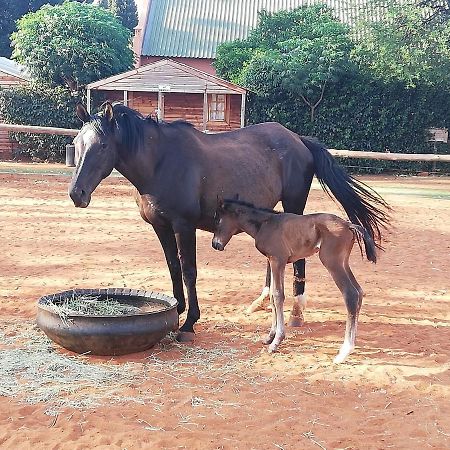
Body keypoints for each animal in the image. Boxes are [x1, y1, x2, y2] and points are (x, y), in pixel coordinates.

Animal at [211, 199, 376, 364]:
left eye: (217, 219)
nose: (215, 244)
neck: (265, 224)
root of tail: (349, 224)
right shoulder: (272, 261)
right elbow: (272, 296)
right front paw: (270, 337)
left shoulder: (278, 260)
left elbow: (278, 296)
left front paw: (276, 342)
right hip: (343, 262)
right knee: (359, 291)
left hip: (331, 261)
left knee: (351, 294)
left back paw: (344, 352)